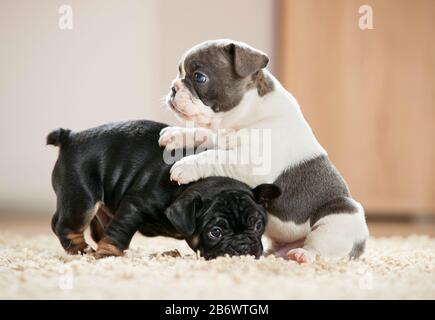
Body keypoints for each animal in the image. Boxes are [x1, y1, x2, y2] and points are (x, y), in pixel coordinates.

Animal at [46, 120, 280, 260]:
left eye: (258, 225)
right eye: (216, 232)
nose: (243, 247)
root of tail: (70, 137)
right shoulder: (134, 206)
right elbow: (119, 232)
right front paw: (108, 255)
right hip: (82, 199)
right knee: (65, 226)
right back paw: (80, 251)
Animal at [158, 40, 370, 264]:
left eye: (199, 77)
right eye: (179, 72)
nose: (173, 88)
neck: (245, 115)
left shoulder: (250, 164)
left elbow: (214, 156)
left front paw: (186, 166)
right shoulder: (221, 137)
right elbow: (204, 134)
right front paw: (176, 134)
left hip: (336, 220)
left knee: (320, 248)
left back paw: (302, 254)